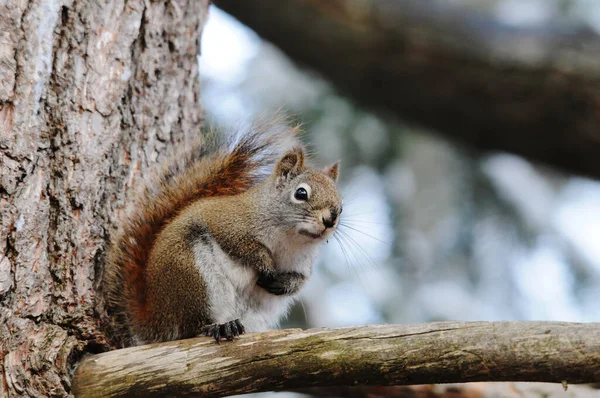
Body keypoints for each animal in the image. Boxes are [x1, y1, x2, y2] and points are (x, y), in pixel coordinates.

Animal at [104, 121, 342, 346]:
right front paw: (265, 265)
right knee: (191, 328)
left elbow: (300, 280)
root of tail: (157, 320)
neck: (291, 238)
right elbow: (241, 245)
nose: (330, 219)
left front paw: (282, 283)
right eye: (301, 193)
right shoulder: (227, 222)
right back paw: (219, 327)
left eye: (340, 205)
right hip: (192, 278)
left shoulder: (302, 263)